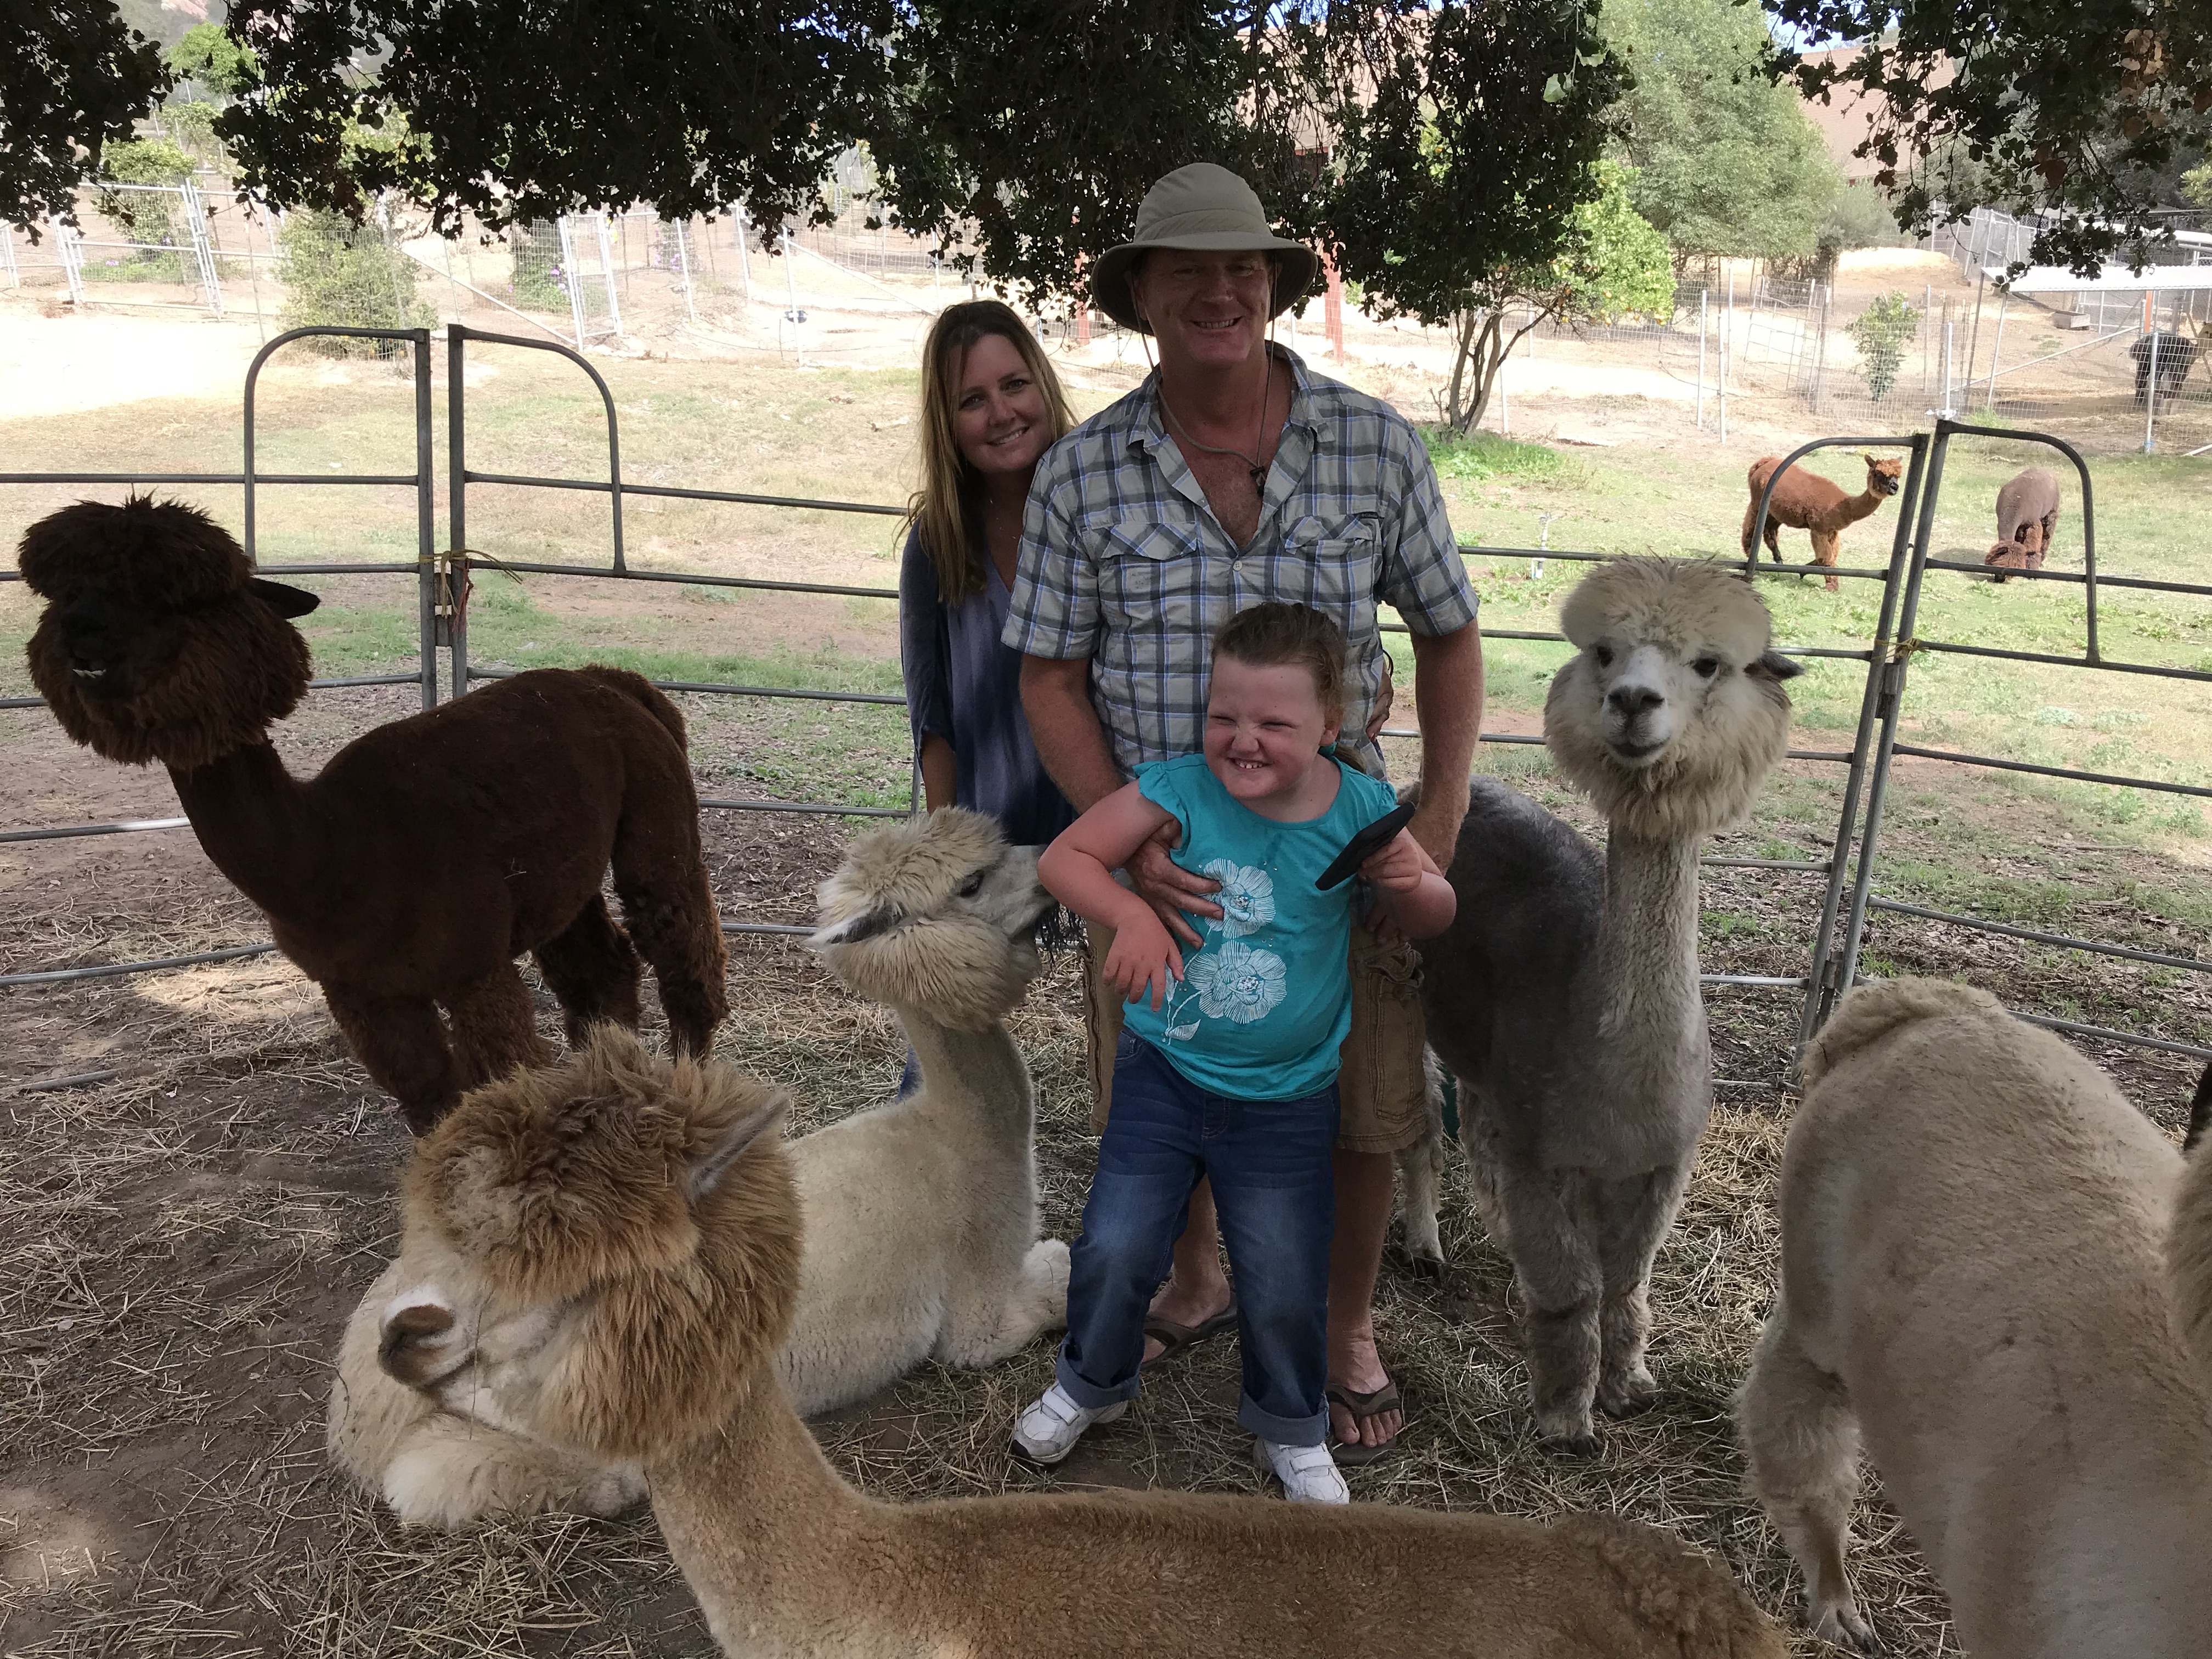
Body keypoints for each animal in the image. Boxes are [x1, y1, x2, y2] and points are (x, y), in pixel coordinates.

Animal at [18, 496, 727, 1133]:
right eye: (64, 593)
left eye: (178, 599)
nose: (78, 629)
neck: (333, 854)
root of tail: (612, 680)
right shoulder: (361, 989)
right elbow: (429, 1094)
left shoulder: (470, 964)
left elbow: (502, 1080)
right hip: (559, 874)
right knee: (602, 971)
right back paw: (607, 1086)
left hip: (656, 817)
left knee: (681, 952)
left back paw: (688, 1089)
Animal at [329, 807, 1071, 1529]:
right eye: (972, 882)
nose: (1052, 858)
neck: (952, 1135)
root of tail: (354, 1410)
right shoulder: (976, 1306)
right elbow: (1045, 1290)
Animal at [1414, 559, 1800, 1451]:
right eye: (1603, 652)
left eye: (1709, 664)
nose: (1632, 701)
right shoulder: (1542, 1152)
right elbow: (1573, 1291)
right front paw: (1566, 1418)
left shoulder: (1661, 1164)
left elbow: (1627, 1283)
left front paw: (1628, 1388)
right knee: (1415, 1128)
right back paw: (1423, 1245)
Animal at [1741, 453, 1903, 592]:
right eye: (1879, 474)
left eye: (1897, 476)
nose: (1894, 488)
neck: (1845, 506)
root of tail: (1765, 462)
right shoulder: (1819, 528)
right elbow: (1826, 556)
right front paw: (1832, 586)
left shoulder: (1832, 531)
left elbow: (1831, 555)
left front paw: (1806, 570)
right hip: (1758, 502)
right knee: (1750, 525)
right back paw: (1752, 555)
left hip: (1776, 511)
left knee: (1769, 530)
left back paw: (1779, 560)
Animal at [1983, 465, 2061, 581]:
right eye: (1997, 564)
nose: (2000, 580)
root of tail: (2044, 469)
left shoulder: (2033, 523)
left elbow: (2032, 547)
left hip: (2051, 511)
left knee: (2047, 534)